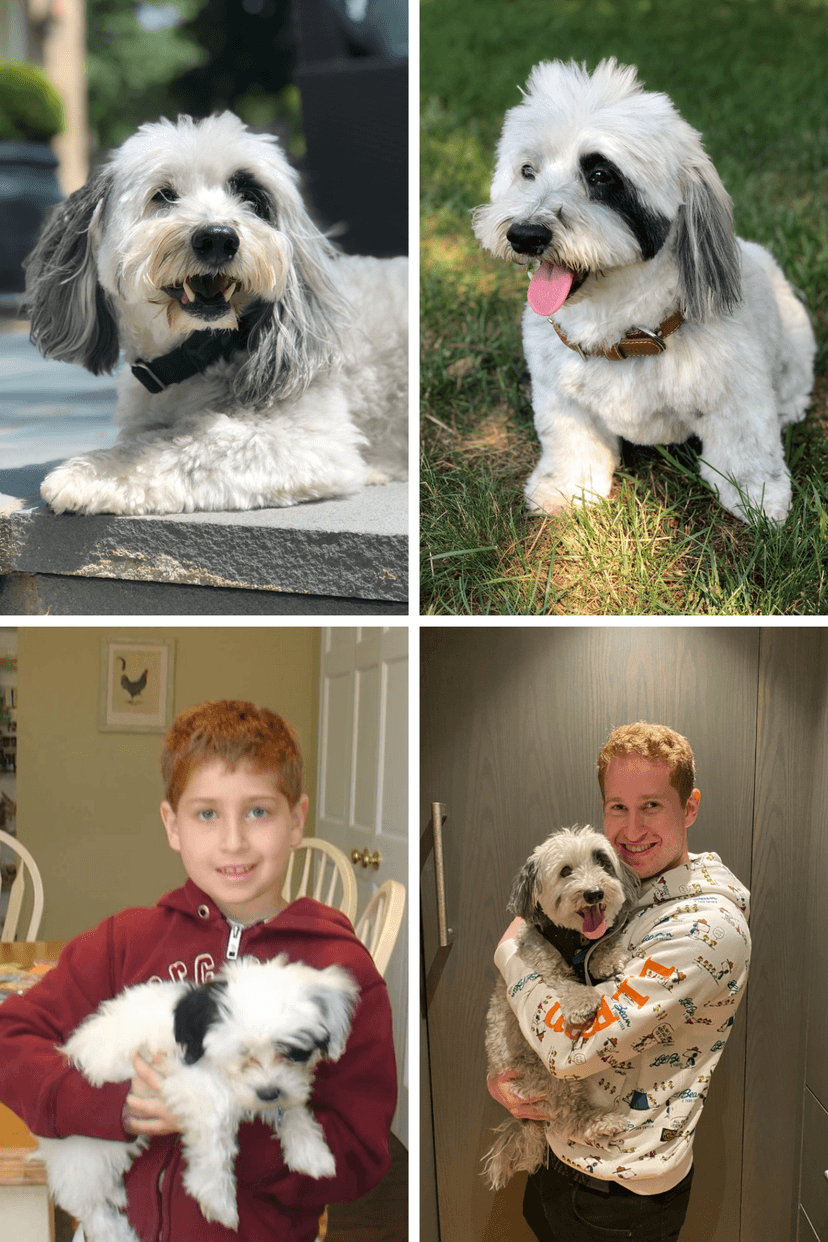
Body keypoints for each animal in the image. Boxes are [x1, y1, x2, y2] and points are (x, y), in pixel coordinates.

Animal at [21, 109, 404, 511]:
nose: (218, 238)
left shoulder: (310, 440)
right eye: (163, 195)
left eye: (251, 196)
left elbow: (188, 445)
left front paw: (91, 472)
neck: (196, 355)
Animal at [38, 953, 360, 1237]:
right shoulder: (187, 1080)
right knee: (89, 1204)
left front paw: (311, 1151)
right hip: (85, 1152)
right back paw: (116, 1231)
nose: (269, 1091)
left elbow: (292, 1107)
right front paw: (216, 1197)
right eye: (242, 1054)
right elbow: (217, 1126)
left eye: (293, 1052)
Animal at [471, 60, 814, 524]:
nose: (525, 234)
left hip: (795, 340)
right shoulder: (561, 398)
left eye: (601, 175)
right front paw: (565, 488)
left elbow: (746, 450)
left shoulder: (737, 394)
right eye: (527, 171)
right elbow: (571, 445)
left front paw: (758, 496)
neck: (627, 333)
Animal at [486, 829, 640, 1187]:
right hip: (547, 1076)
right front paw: (584, 1002)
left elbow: (603, 948)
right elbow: (567, 985)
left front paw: (608, 956)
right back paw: (599, 1123)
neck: (575, 941)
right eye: (566, 871)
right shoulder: (543, 966)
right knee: (566, 1117)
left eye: (602, 860)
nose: (593, 893)